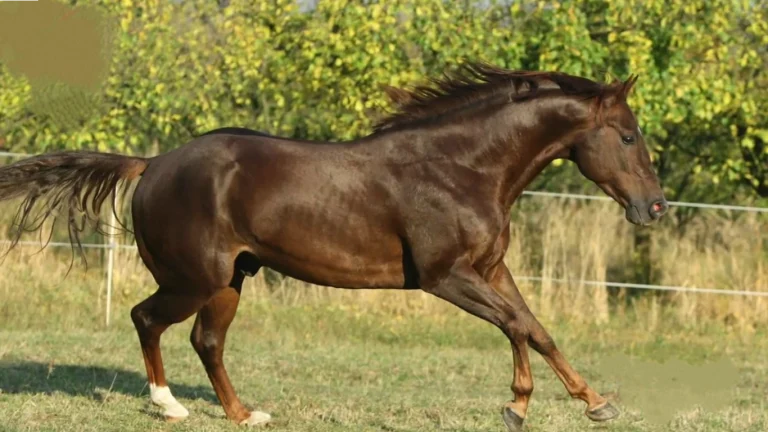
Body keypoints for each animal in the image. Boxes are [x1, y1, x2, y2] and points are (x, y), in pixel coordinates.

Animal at [0, 61, 668, 431]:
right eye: (628, 136)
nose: (655, 207)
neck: (462, 167)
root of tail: (152, 164)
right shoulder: (445, 276)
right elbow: (519, 326)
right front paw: (523, 408)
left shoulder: (490, 268)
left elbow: (534, 328)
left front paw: (588, 404)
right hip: (195, 278)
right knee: (146, 319)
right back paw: (169, 407)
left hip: (231, 279)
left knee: (206, 342)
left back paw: (245, 415)